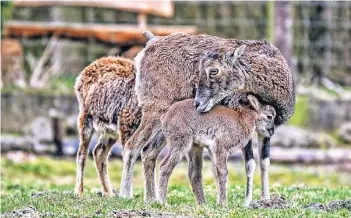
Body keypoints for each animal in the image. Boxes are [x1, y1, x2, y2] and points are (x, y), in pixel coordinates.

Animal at [75, 56, 141, 198]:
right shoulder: (127, 122)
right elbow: (129, 154)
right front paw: (127, 195)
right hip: (85, 120)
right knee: (82, 154)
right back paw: (79, 192)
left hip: (110, 132)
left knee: (99, 152)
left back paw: (109, 193)